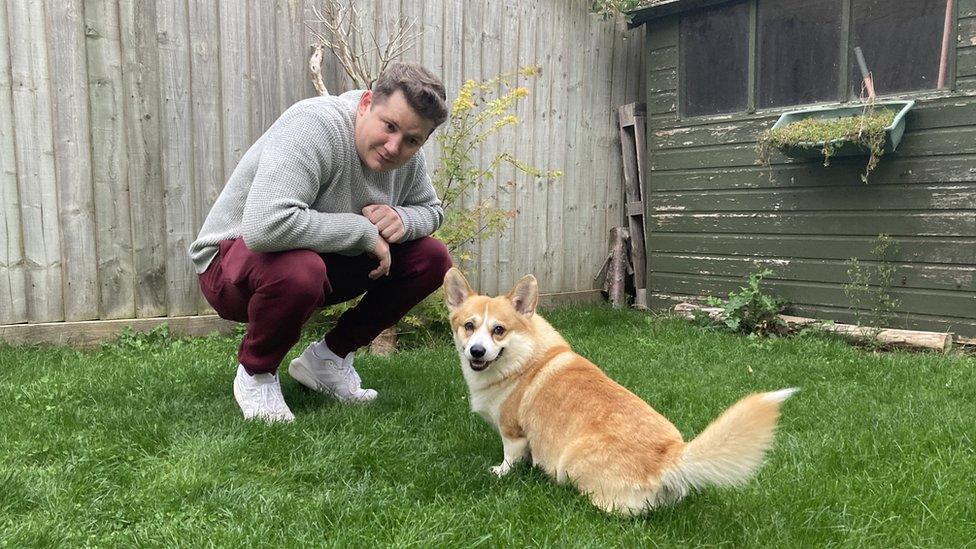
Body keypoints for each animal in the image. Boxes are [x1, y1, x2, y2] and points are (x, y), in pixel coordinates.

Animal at [446, 268, 796, 516]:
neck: (522, 357)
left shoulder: (513, 432)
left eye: (499, 330)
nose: (476, 351)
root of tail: (669, 457)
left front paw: (499, 473)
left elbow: (509, 458)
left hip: (572, 461)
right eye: (468, 326)